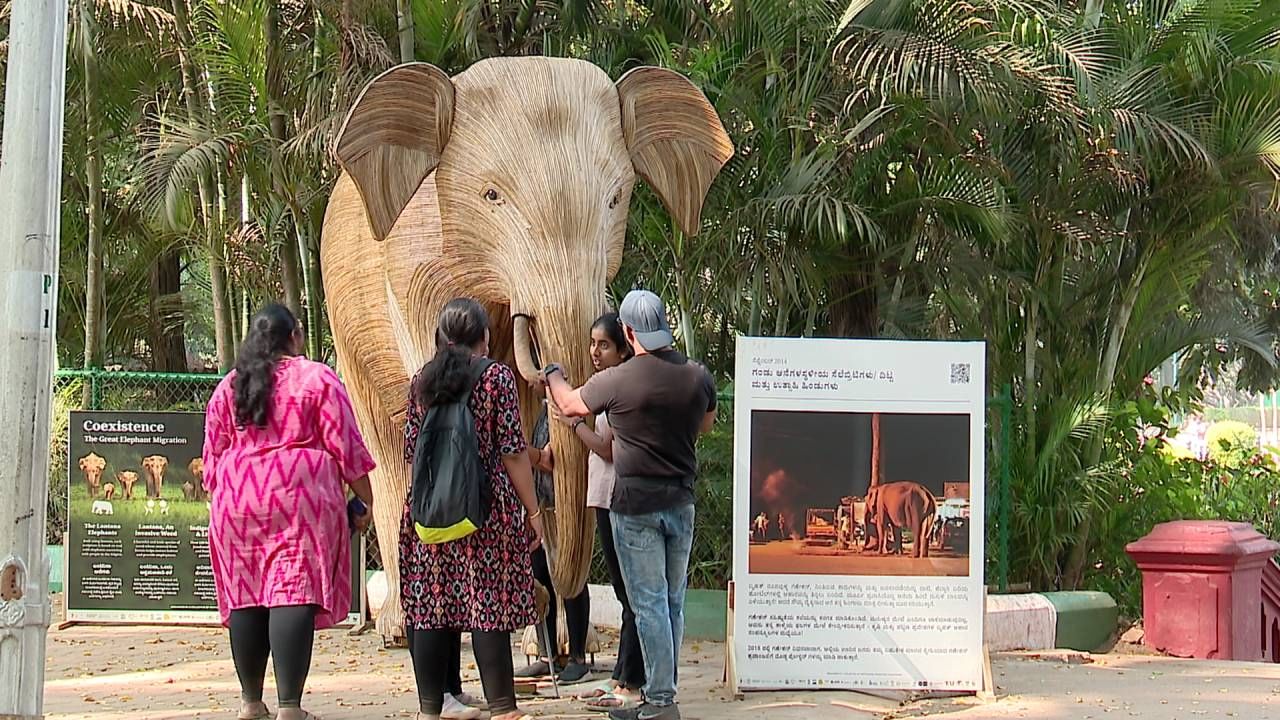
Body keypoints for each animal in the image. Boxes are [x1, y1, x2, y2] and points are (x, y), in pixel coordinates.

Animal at [320, 57, 732, 638]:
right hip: (344, 318)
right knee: (384, 446)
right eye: (491, 196)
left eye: (615, 199)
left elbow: (519, 404)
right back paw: (399, 628)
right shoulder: (413, 269)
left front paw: (530, 630)